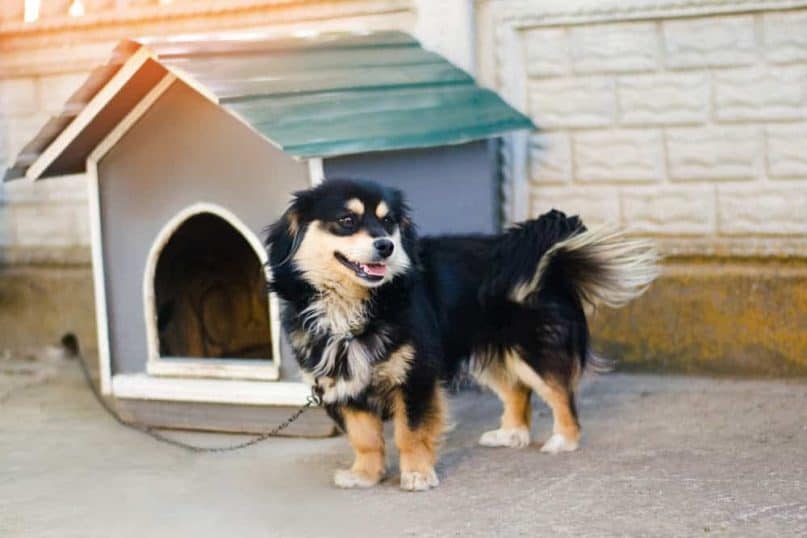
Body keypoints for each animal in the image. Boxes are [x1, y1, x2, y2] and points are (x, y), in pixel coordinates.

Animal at [268, 179, 660, 490]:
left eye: (388, 222)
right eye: (346, 221)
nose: (386, 246)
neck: (353, 307)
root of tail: (551, 262)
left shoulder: (415, 376)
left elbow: (409, 433)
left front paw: (417, 475)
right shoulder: (342, 384)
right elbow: (364, 438)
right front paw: (365, 476)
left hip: (529, 348)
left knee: (559, 393)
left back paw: (564, 439)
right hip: (491, 352)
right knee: (518, 392)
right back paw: (511, 434)